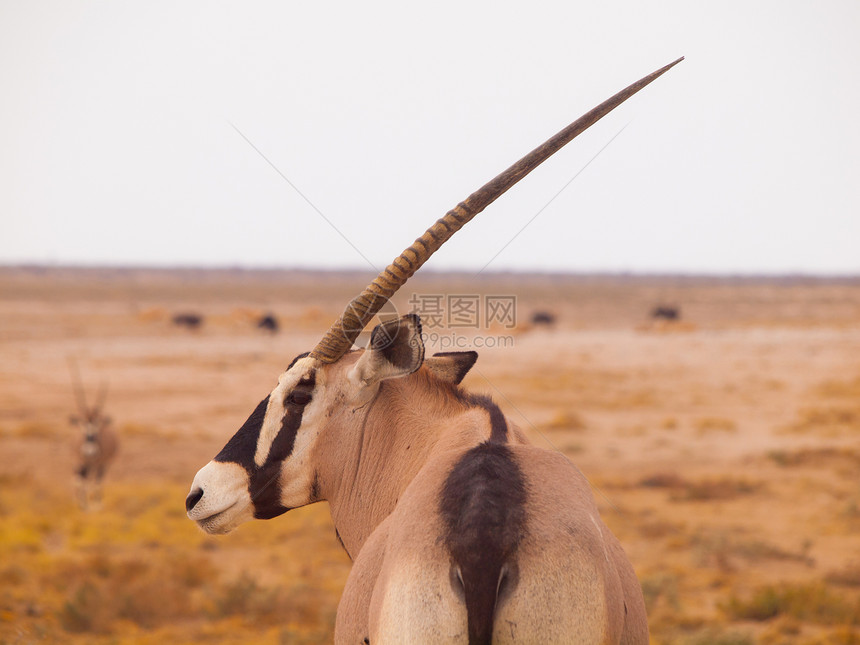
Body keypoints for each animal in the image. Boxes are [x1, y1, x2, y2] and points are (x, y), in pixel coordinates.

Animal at [68, 362, 117, 508]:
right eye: (81, 424)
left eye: (98, 426)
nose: (89, 451)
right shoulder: (78, 462)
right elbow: (80, 482)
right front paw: (81, 504)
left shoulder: (101, 464)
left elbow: (95, 484)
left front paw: (96, 505)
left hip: (102, 465)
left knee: (95, 482)